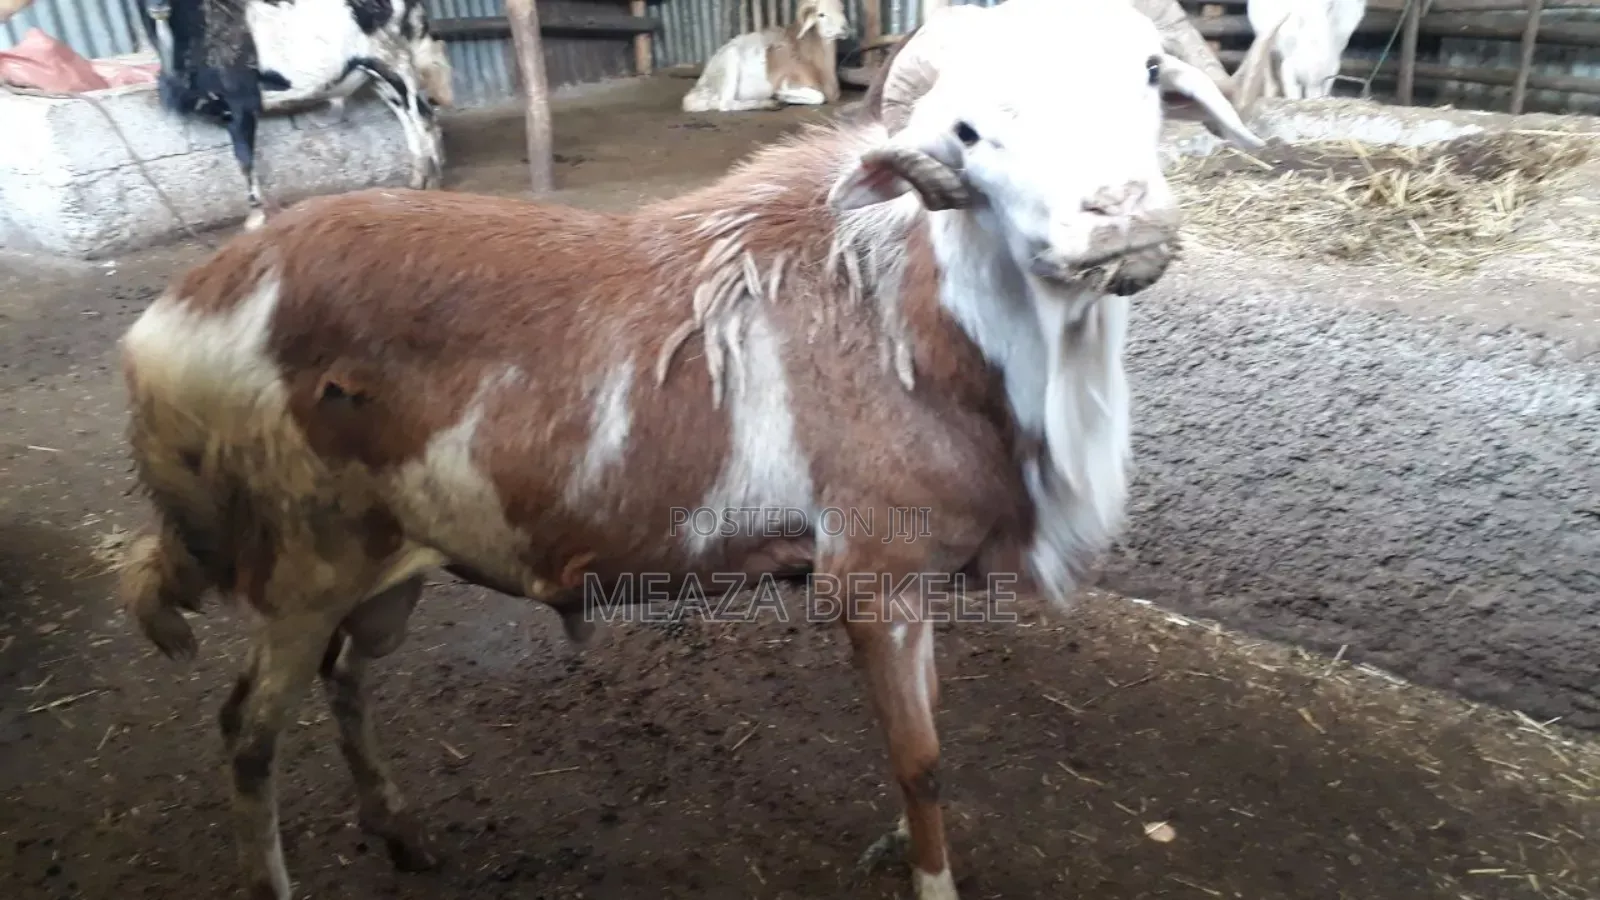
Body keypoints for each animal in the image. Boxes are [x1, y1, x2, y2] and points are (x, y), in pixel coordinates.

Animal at [133, 0, 454, 231]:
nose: (158, 6)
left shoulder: (242, 101)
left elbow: (244, 159)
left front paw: (255, 218)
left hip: (394, 61)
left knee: (423, 116)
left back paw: (434, 182)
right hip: (377, 74)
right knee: (408, 118)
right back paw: (417, 181)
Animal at [681, 0, 851, 112]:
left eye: (841, 9)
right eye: (821, 15)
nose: (845, 28)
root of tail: (702, 85)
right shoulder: (788, 81)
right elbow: (819, 97)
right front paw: (782, 96)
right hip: (730, 63)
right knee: (725, 104)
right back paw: (769, 103)